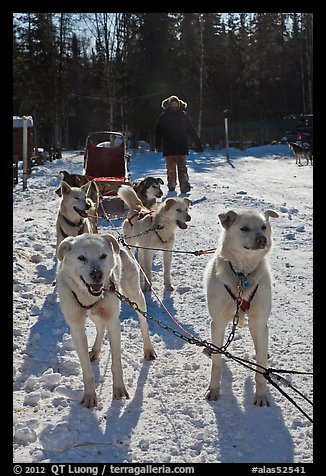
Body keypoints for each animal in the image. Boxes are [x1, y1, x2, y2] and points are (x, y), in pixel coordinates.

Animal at [56, 232, 157, 408]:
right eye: (81, 257)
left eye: (103, 255)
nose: (97, 274)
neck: (88, 296)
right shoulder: (76, 327)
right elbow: (86, 369)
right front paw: (90, 395)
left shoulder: (113, 322)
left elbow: (116, 361)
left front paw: (119, 389)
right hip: (93, 314)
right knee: (99, 327)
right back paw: (95, 350)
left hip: (136, 297)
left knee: (143, 324)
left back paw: (148, 349)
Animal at [204, 208, 278, 406]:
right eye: (244, 228)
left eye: (263, 227)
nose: (262, 239)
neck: (242, 277)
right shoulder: (218, 323)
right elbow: (217, 364)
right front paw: (214, 389)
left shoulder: (260, 323)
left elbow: (261, 367)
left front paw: (261, 395)